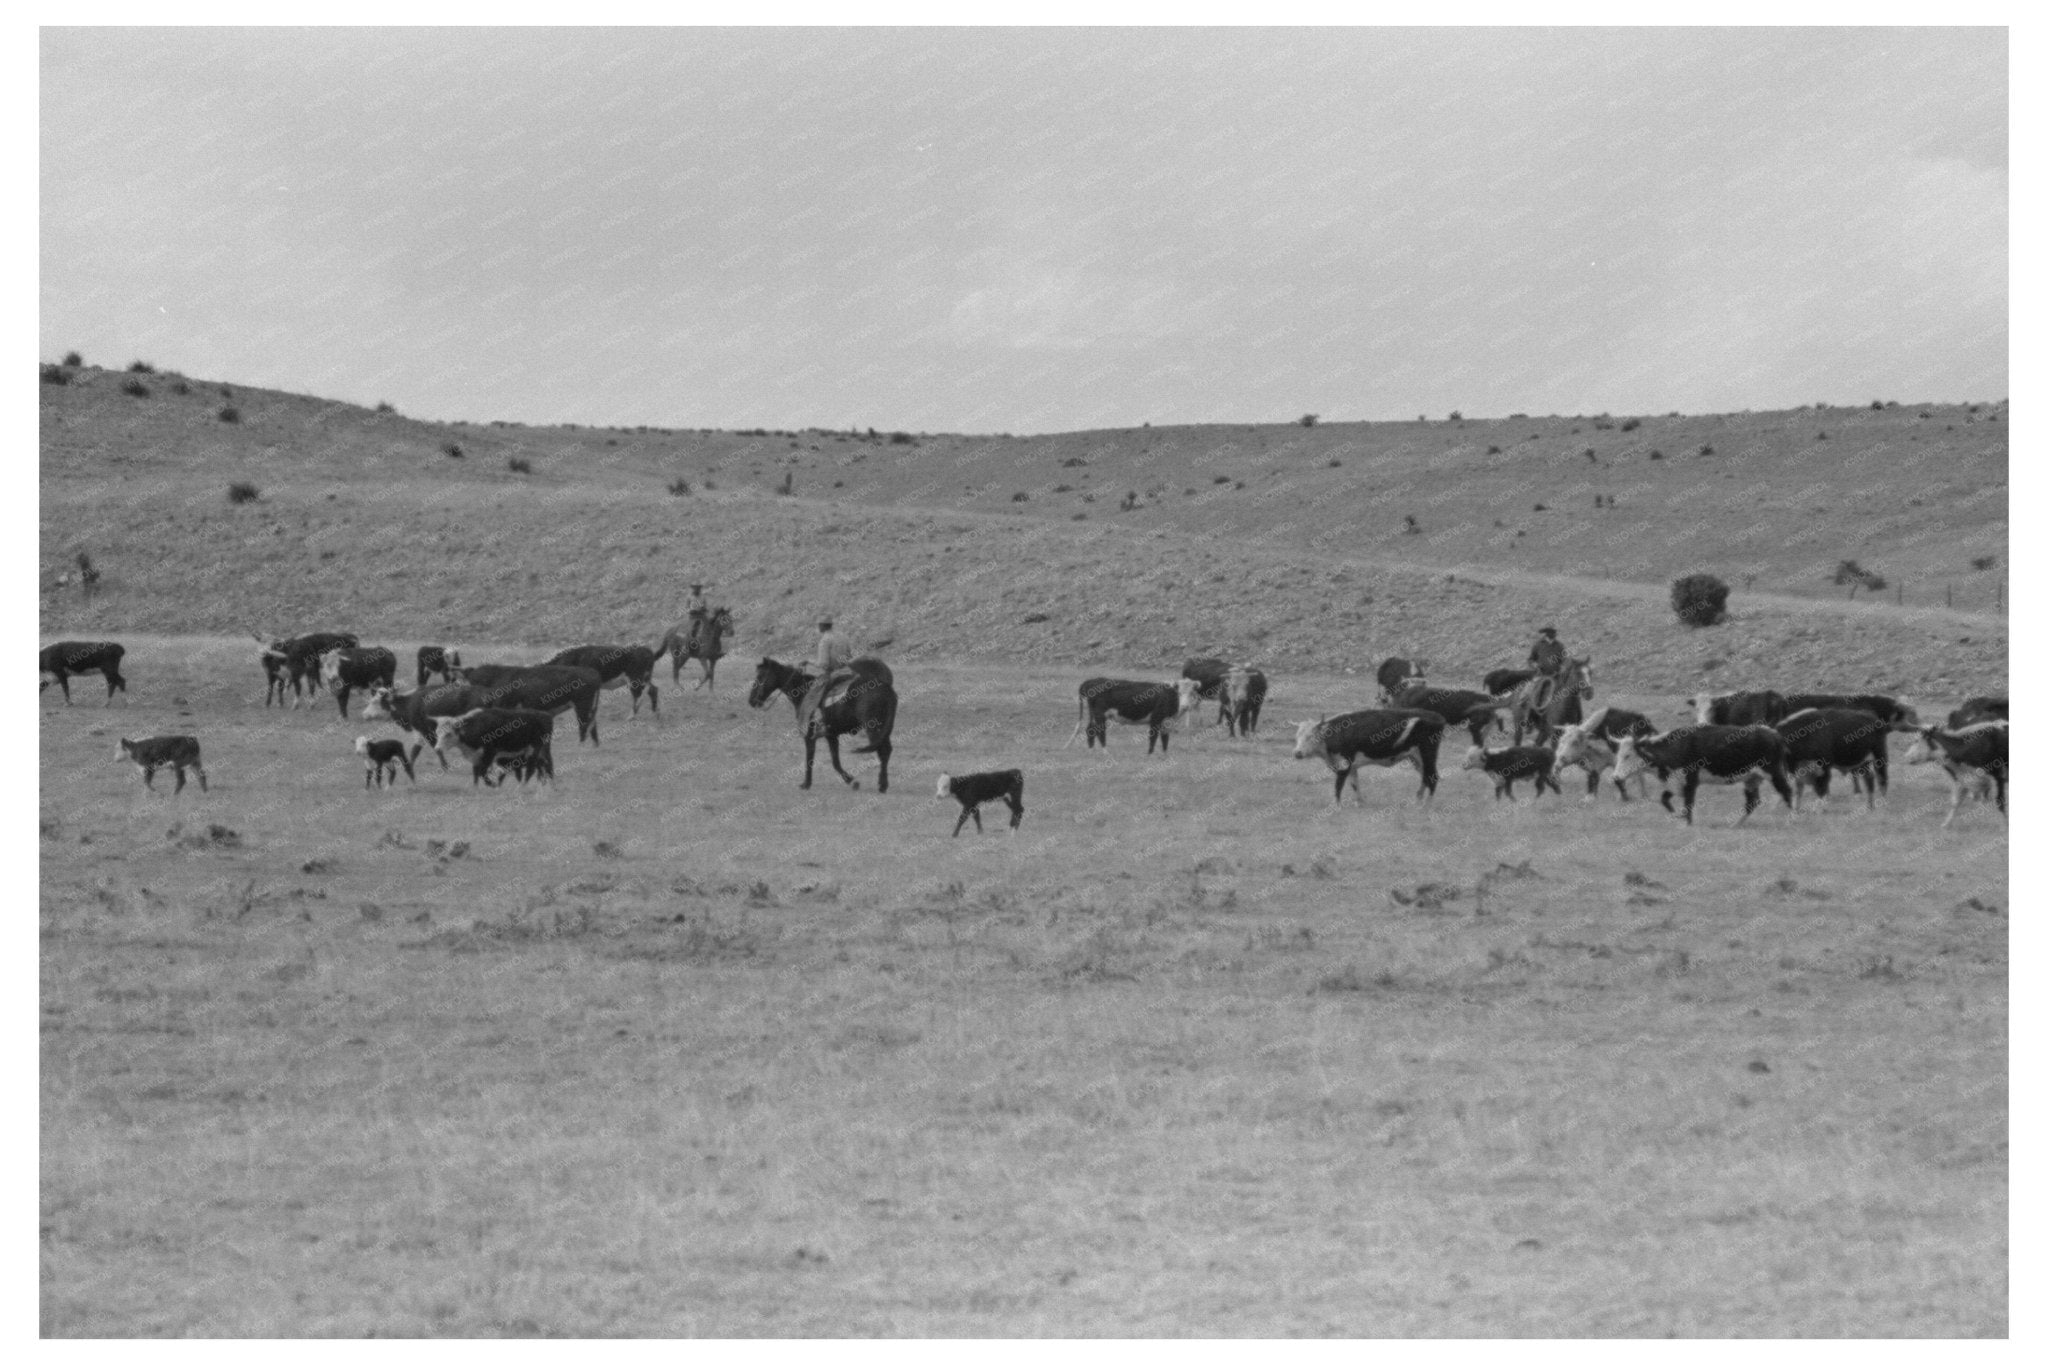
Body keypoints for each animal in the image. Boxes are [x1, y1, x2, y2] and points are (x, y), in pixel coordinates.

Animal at [1067, 678, 1202, 754]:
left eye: (1192, 693)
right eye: (1179, 693)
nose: (1185, 706)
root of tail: (1090, 681)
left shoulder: (1167, 722)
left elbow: (1165, 740)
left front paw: (1165, 756)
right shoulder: (1155, 719)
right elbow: (1153, 738)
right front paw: (1150, 754)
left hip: (1093, 714)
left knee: (1090, 730)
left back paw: (1092, 751)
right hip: (1100, 714)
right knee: (1099, 732)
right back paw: (1106, 752)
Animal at [1290, 709, 1445, 805]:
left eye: (1311, 736)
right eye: (1297, 736)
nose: (1297, 753)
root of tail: (1436, 716)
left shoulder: (1344, 764)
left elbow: (1338, 786)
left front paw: (1336, 806)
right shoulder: (1351, 766)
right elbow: (1354, 784)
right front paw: (1360, 803)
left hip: (1427, 753)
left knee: (1432, 777)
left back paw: (1426, 805)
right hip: (1416, 758)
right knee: (1425, 777)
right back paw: (1418, 800)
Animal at [1612, 726, 1794, 826]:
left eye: (1628, 755)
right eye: (1618, 754)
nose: (1615, 777)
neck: (1677, 746)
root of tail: (1774, 734)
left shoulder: (1691, 781)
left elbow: (1688, 805)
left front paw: (1687, 824)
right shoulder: (1677, 782)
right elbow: (1664, 799)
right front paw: (1676, 815)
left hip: (1774, 773)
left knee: (1786, 792)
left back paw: (1790, 821)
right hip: (1752, 779)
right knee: (1752, 802)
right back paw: (1735, 825)